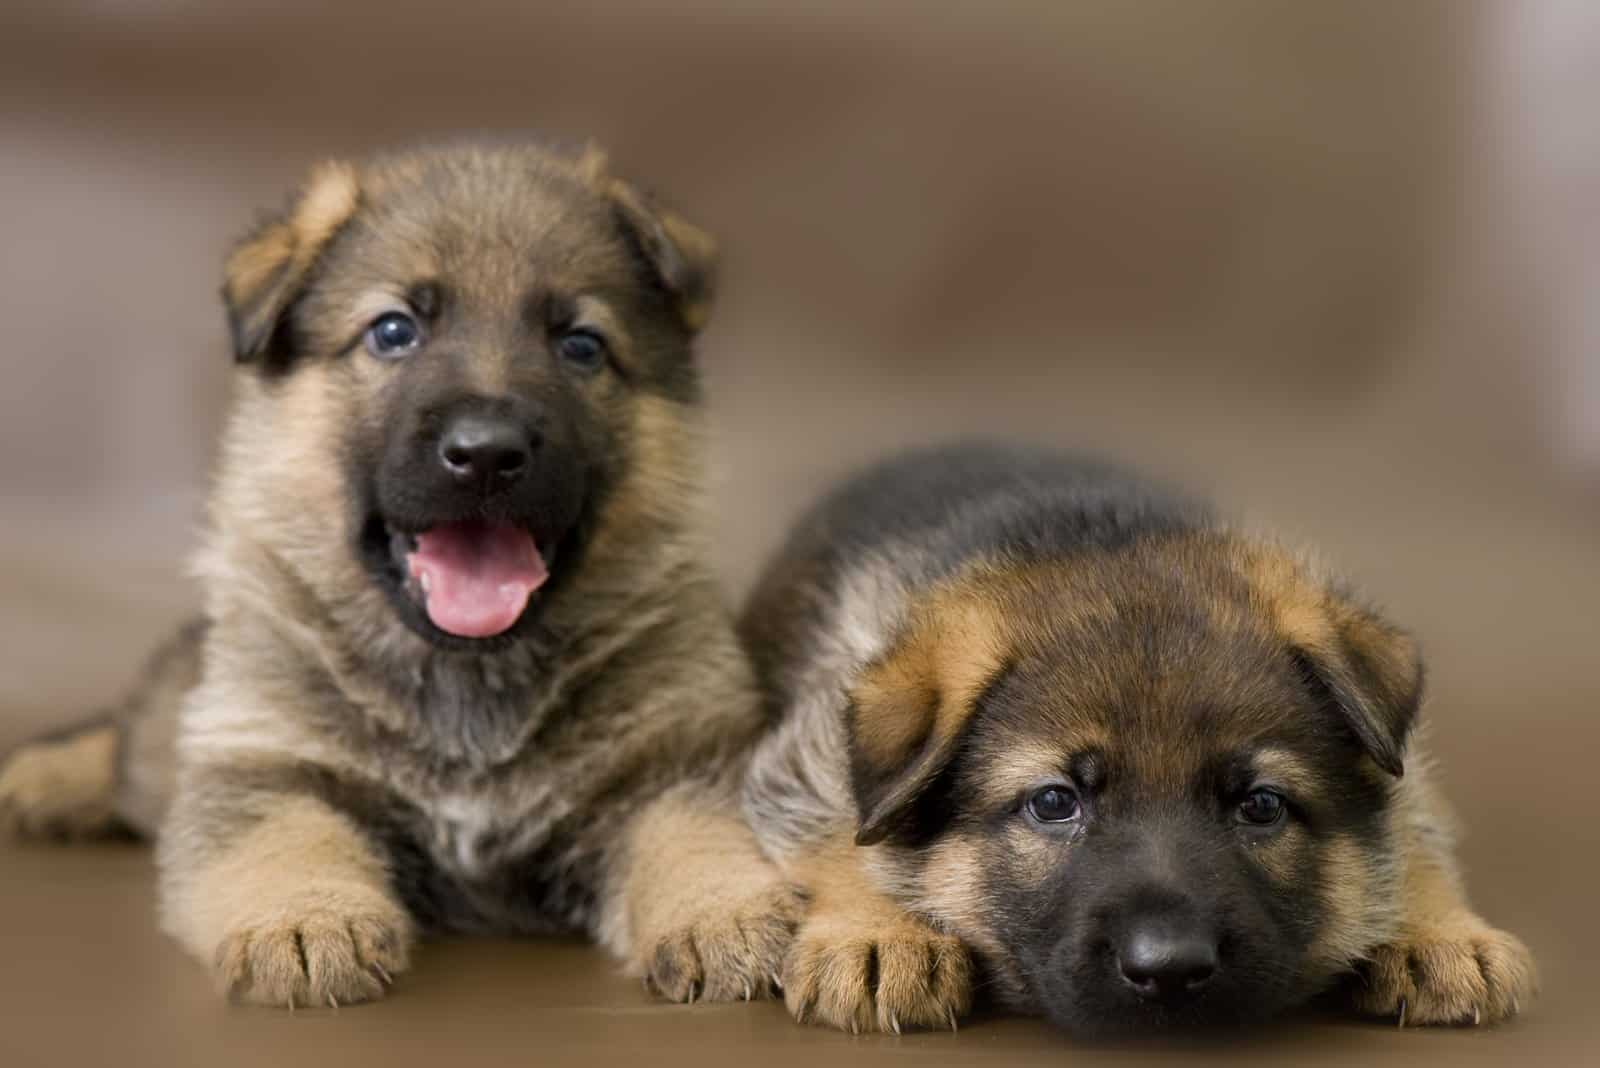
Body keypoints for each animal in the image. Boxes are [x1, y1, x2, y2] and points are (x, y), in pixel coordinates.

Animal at [0, 141, 800, 1010]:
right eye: (393, 331)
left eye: (581, 344)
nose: (486, 453)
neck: (467, 683)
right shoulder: (262, 763)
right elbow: (285, 836)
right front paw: (303, 920)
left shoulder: (675, 765)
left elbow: (696, 831)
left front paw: (725, 911)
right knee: (134, 730)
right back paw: (43, 778)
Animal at [739, 441, 1536, 1036]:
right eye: (1054, 803)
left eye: (1262, 805)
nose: (1170, 969)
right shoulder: (806, 752)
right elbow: (840, 826)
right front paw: (879, 933)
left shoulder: (1401, 769)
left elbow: (1410, 823)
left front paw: (1437, 929)